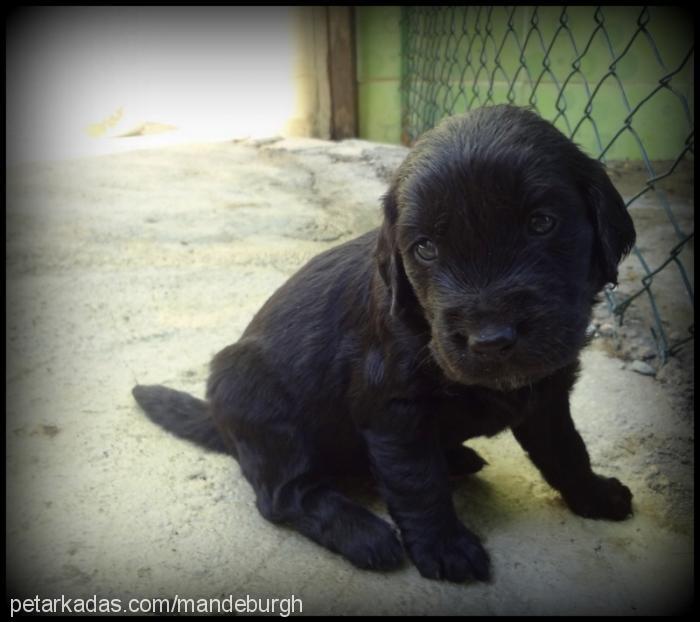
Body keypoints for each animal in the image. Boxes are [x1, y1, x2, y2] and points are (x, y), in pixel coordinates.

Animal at [134, 106, 636, 584]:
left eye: (542, 223)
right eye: (425, 248)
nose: (490, 341)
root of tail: (219, 417)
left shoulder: (546, 394)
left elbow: (567, 450)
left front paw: (595, 496)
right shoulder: (392, 408)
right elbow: (418, 481)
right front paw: (444, 548)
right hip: (261, 404)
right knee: (283, 495)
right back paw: (365, 536)